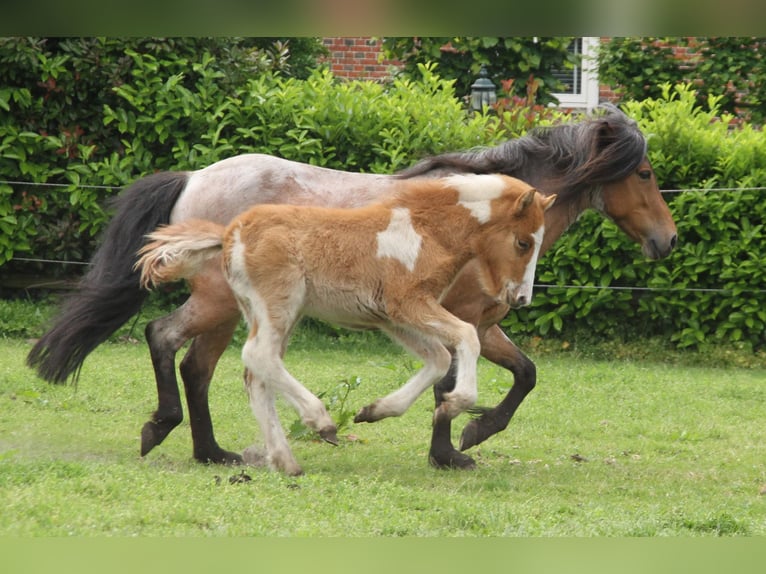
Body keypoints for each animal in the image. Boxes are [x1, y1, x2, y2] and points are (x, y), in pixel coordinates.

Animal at [138, 174, 556, 476]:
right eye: (523, 243)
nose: (520, 298)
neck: (426, 230)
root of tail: (229, 234)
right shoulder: (408, 302)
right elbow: (466, 339)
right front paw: (456, 406)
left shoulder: (393, 316)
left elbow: (438, 358)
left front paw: (375, 410)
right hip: (279, 305)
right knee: (258, 356)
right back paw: (319, 422)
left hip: (269, 312)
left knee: (256, 373)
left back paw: (285, 460)